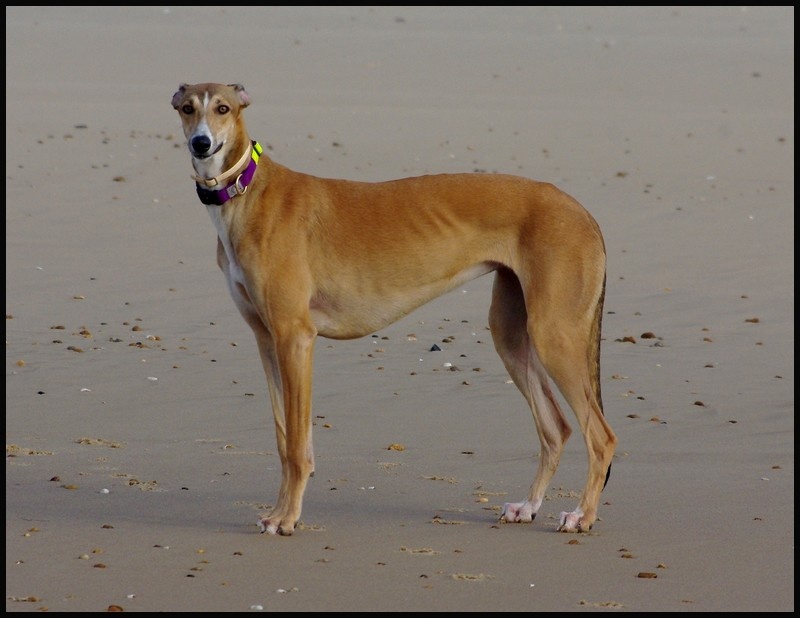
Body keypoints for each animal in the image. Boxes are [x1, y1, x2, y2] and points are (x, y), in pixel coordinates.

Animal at [171, 82, 617, 536]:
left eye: (223, 108)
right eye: (187, 108)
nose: (201, 143)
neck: (247, 192)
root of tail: (583, 212)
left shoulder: (294, 337)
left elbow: (296, 447)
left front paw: (288, 518)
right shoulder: (267, 340)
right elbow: (284, 441)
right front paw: (280, 513)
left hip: (554, 333)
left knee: (601, 436)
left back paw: (582, 515)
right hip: (511, 334)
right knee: (556, 428)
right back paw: (527, 506)